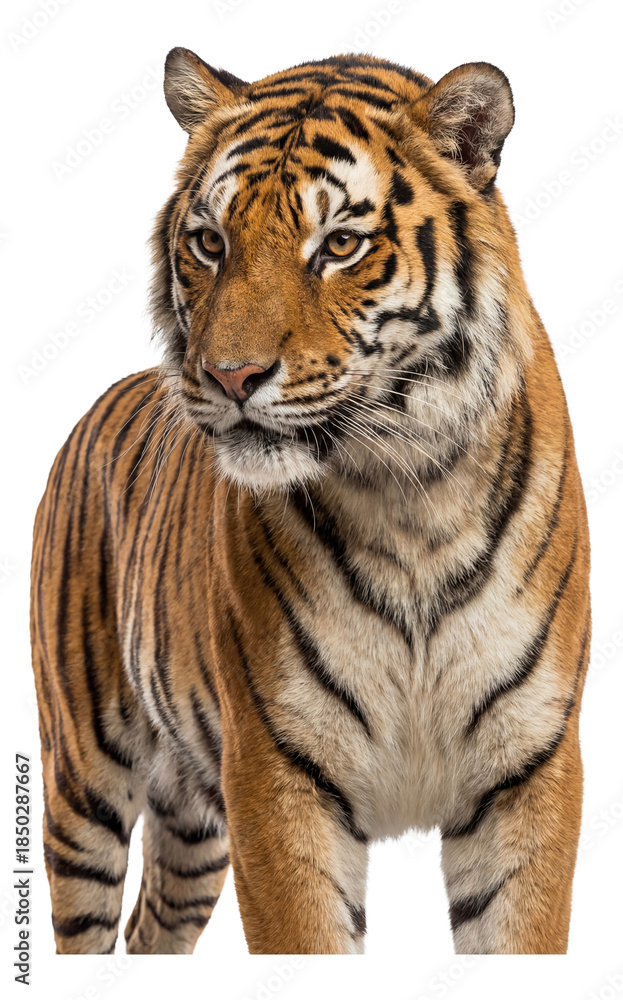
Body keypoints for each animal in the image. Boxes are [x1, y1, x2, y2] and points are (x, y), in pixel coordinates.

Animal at [30, 48, 591, 956]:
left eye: (339, 245)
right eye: (209, 241)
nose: (229, 377)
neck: (409, 496)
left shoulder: (527, 769)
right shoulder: (275, 772)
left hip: (191, 824)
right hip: (83, 777)